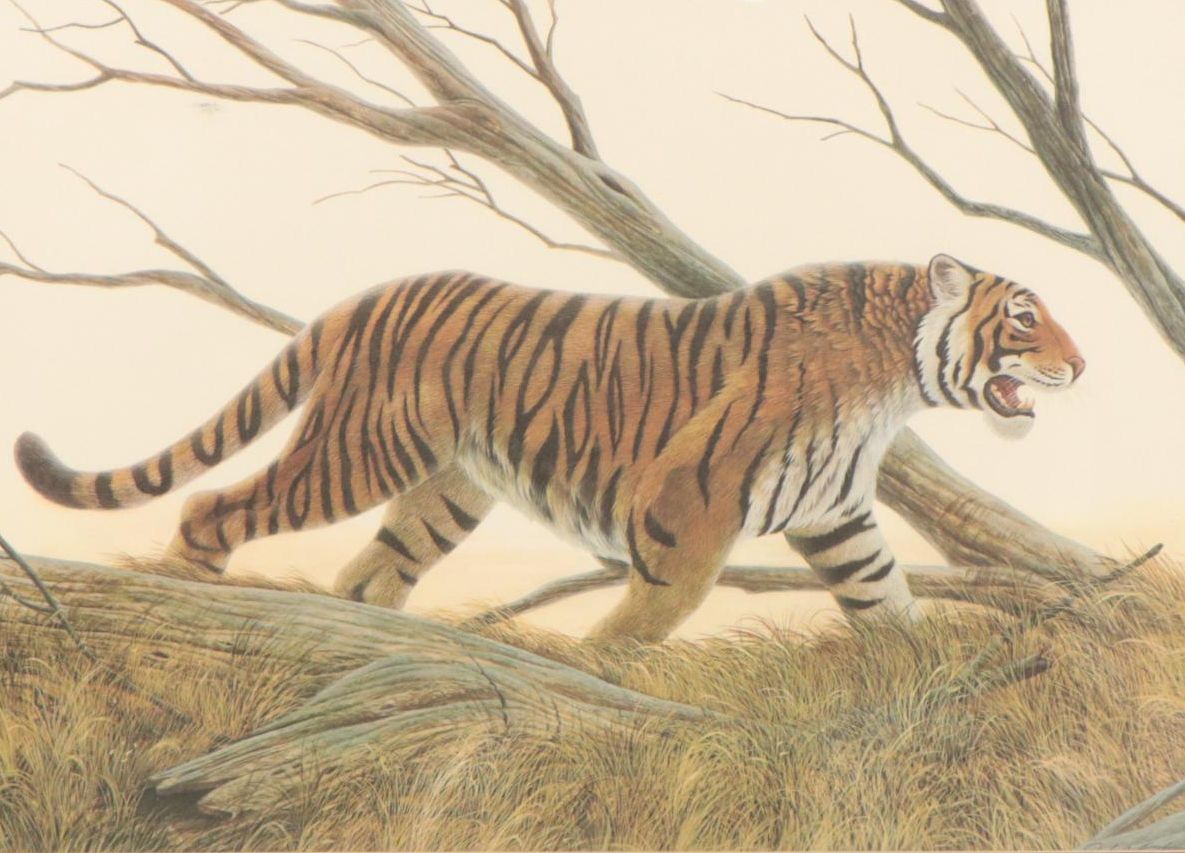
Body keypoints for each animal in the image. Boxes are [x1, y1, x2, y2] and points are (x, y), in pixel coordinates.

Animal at [15, 254, 1084, 641]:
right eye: (1023, 319)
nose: (1081, 364)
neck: (894, 382)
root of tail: (370, 293)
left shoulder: (835, 512)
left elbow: (883, 595)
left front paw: (927, 668)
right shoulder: (692, 497)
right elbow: (659, 606)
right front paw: (603, 661)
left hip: (444, 488)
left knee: (369, 573)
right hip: (360, 452)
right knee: (212, 505)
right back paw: (187, 597)